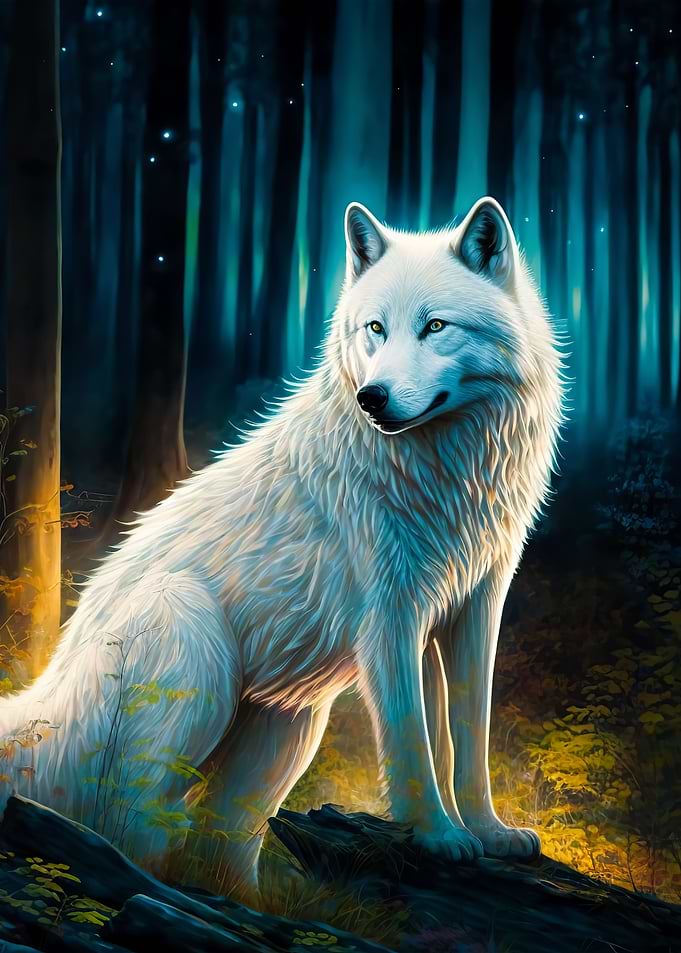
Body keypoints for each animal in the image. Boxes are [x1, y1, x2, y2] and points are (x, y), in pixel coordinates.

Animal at [0, 197, 562, 891]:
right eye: (375, 328)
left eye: (435, 326)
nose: (371, 397)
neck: (441, 469)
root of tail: (57, 670)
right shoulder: (391, 620)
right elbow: (411, 741)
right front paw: (437, 837)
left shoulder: (475, 607)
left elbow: (469, 732)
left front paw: (487, 832)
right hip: (193, 657)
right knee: (129, 820)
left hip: (285, 737)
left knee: (219, 843)